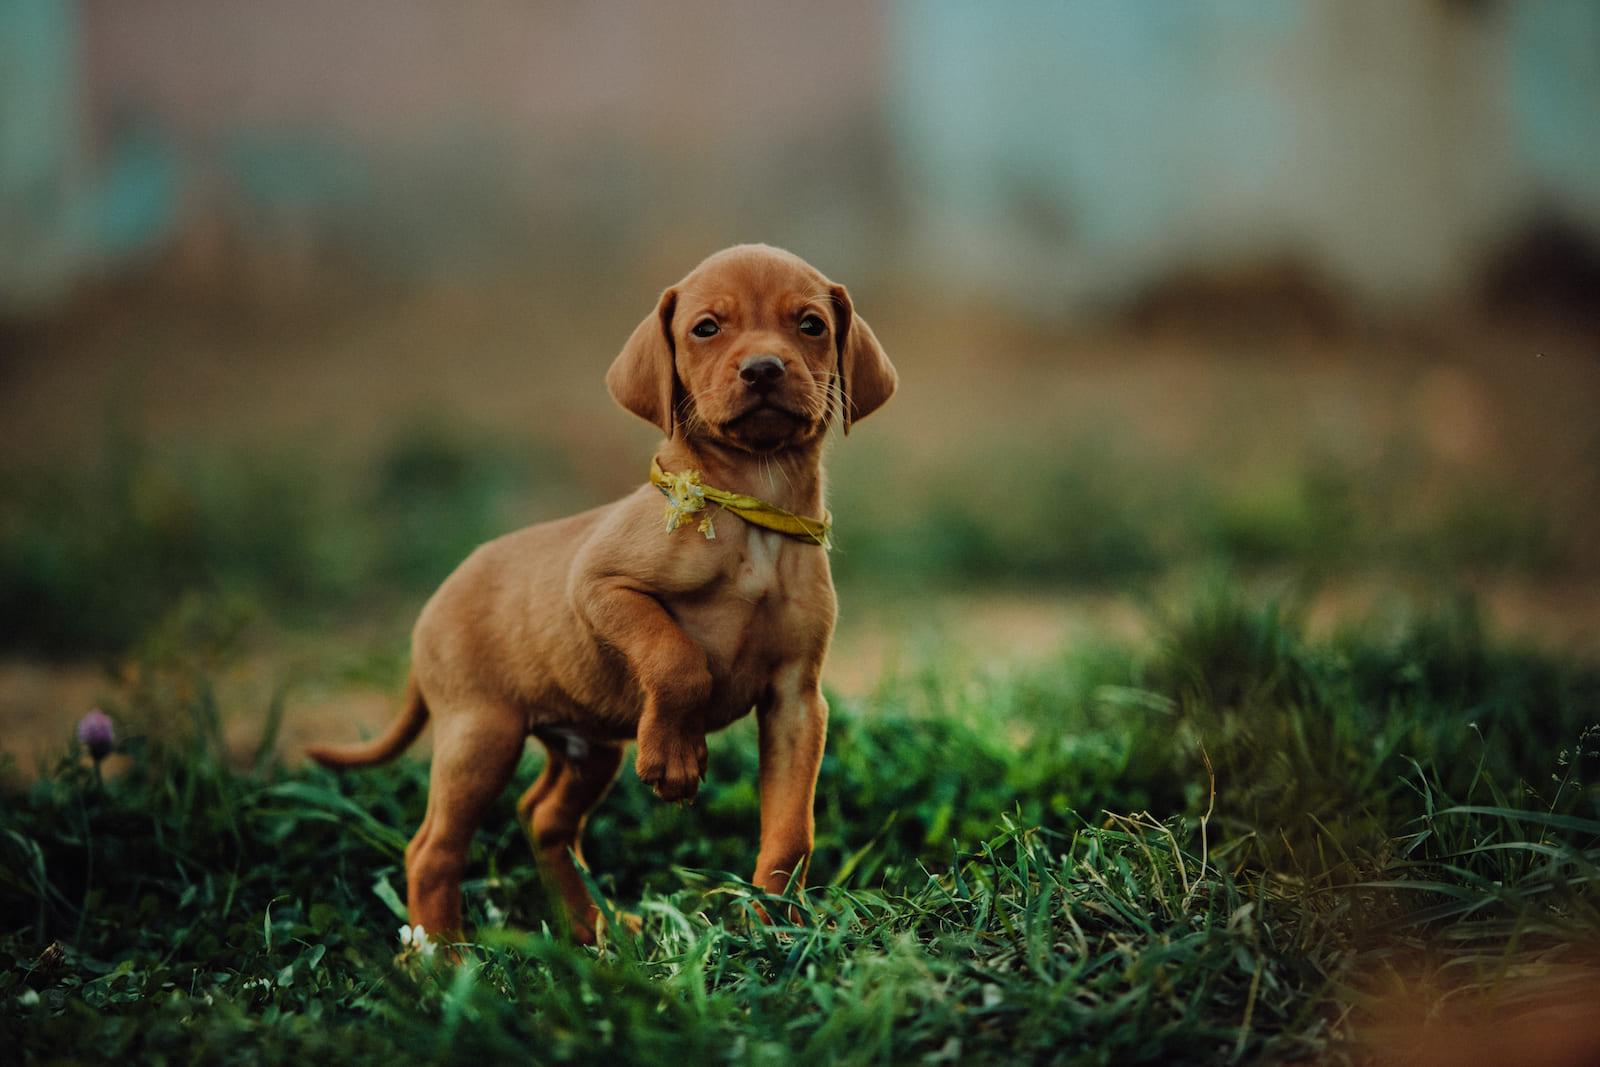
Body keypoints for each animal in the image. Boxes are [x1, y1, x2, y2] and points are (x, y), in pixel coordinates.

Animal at [302, 246, 902, 947]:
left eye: (810, 326)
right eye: (706, 328)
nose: (762, 368)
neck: (752, 507)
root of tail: (435, 600)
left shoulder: (796, 702)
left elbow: (789, 832)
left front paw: (774, 927)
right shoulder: (598, 584)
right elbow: (676, 656)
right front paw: (676, 757)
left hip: (588, 746)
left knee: (544, 819)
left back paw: (592, 928)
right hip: (481, 735)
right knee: (433, 847)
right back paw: (440, 956)